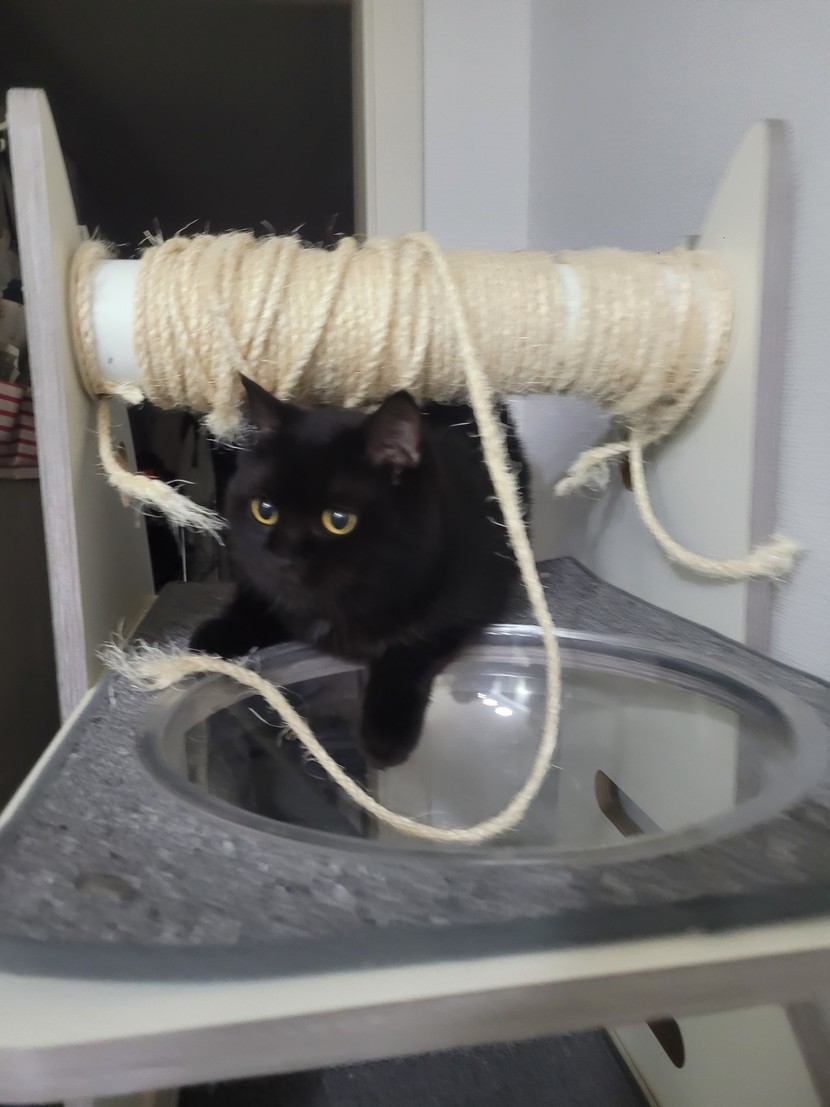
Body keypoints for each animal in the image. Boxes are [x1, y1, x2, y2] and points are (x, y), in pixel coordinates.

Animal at [190, 375, 529, 768]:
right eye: (265, 510)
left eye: (339, 520)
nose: (282, 556)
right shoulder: (259, 578)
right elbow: (257, 601)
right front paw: (214, 637)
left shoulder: (463, 608)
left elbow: (407, 654)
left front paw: (384, 737)